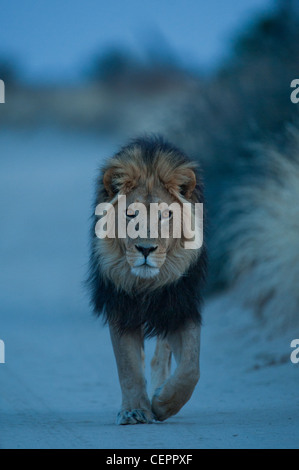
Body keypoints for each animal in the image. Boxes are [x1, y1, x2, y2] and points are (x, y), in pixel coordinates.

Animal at [88, 136, 207, 426]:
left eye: (166, 215)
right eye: (130, 215)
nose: (145, 249)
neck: (146, 284)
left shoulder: (182, 306)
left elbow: (191, 367)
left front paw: (163, 403)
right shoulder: (121, 307)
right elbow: (128, 365)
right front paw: (134, 411)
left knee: (162, 354)